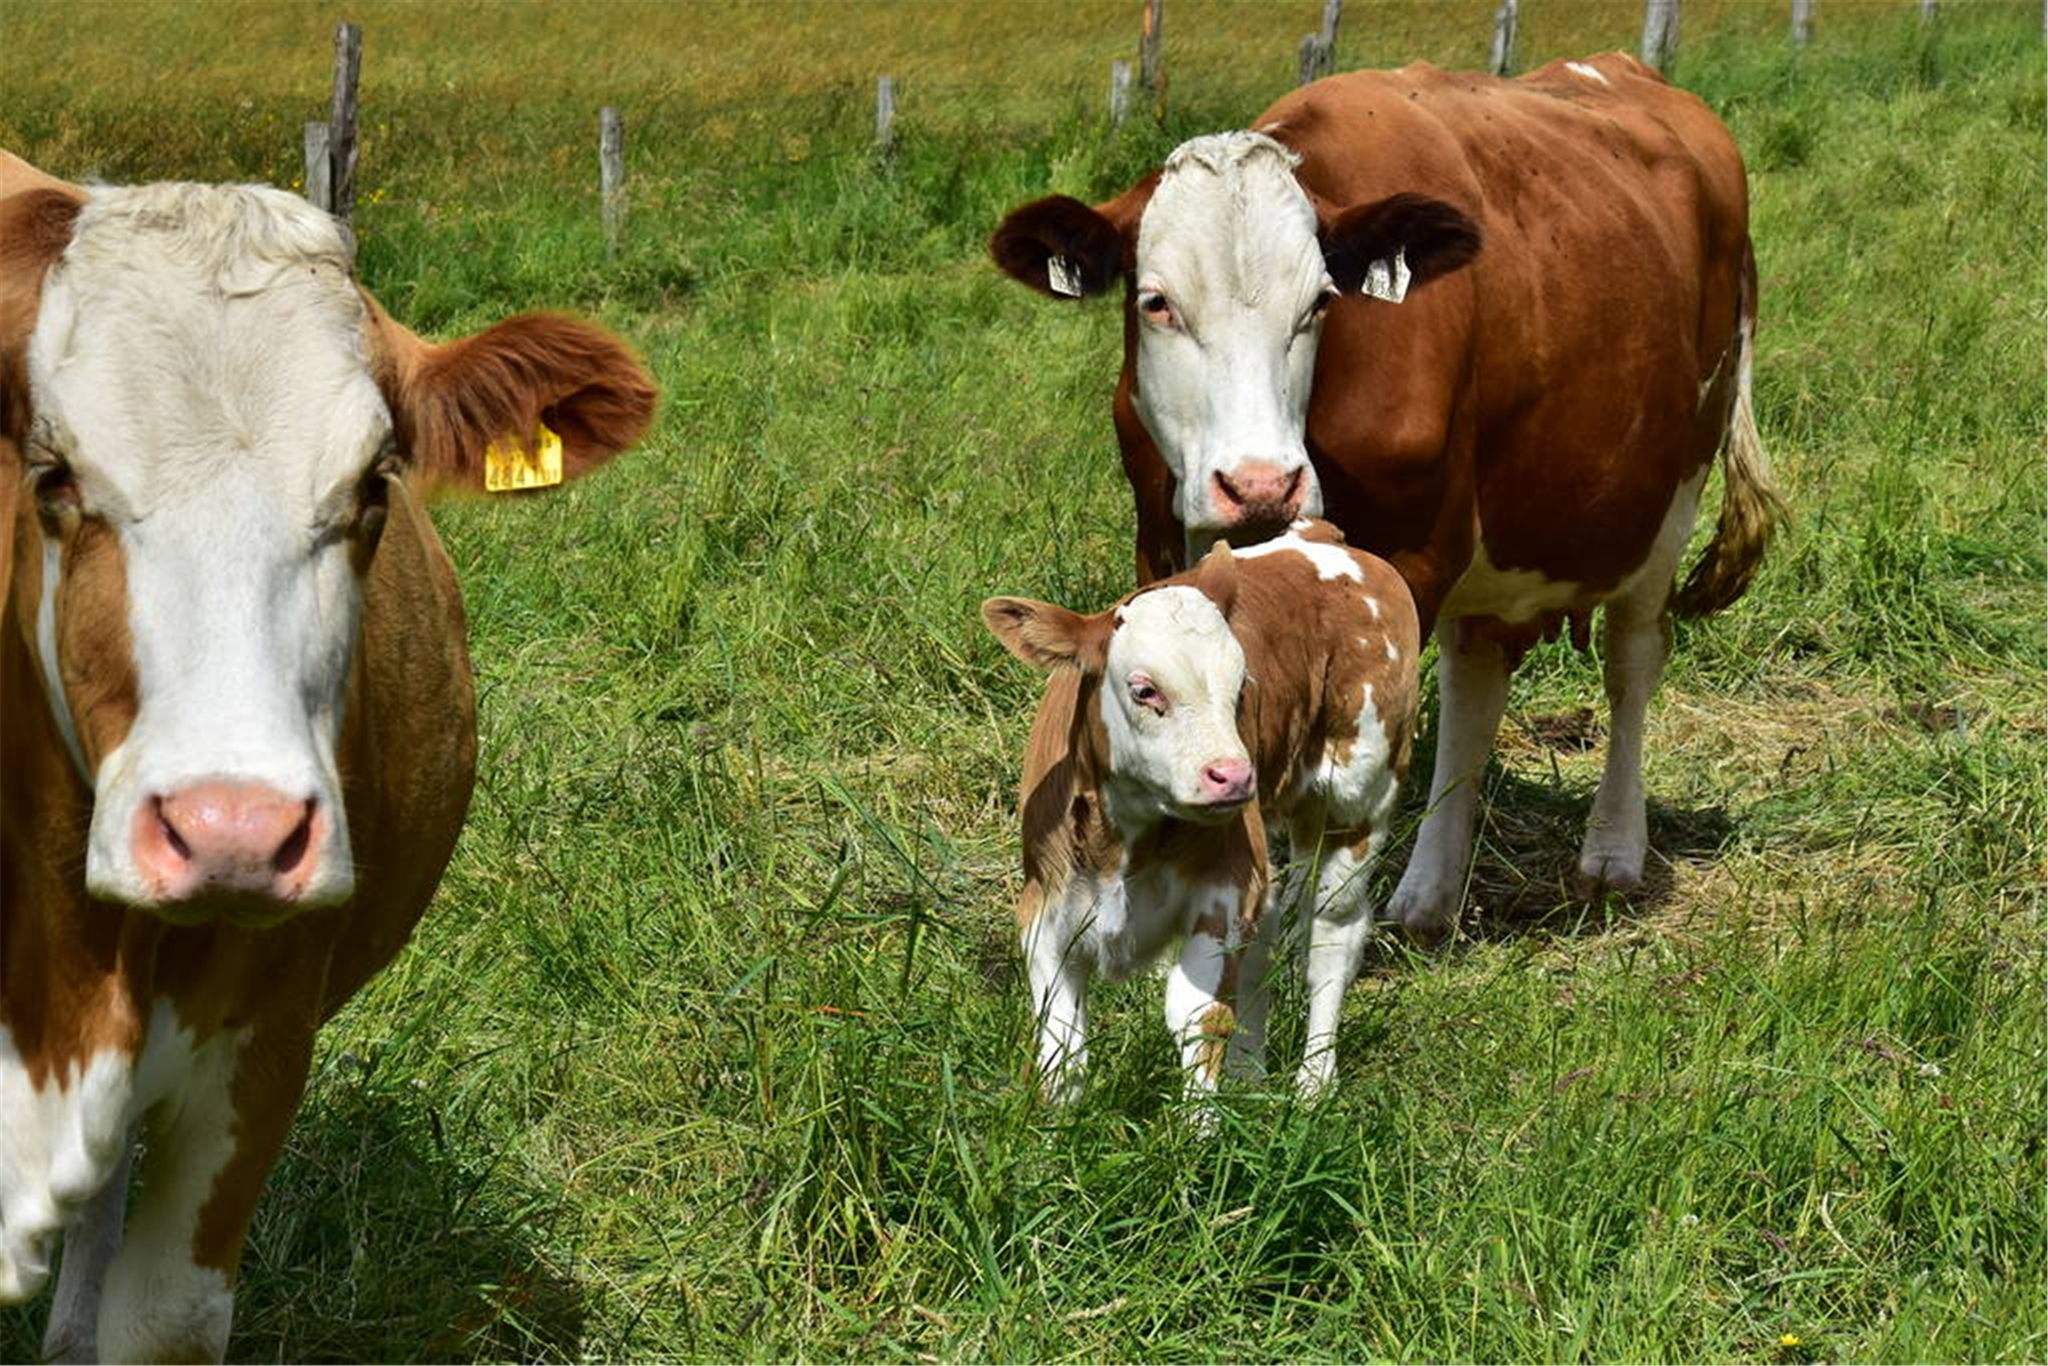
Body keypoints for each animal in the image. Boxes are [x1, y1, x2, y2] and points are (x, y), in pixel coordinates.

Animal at [983, 518, 1417, 1105]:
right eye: (1145, 690)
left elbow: (1198, 1017)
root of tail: (1317, 536)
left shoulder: (1225, 891)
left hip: (1357, 798)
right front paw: (1055, 1123)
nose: (1233, 775)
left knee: (1333, 933)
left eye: (1241, 687)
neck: (1127, 844)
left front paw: (1201, 1126)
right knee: (1268, 932)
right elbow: (1062, 1039)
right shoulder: (1044, 905)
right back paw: (1251, 1075)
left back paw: (1313, 1081)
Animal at [987, 56, 1777, 950]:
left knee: (1630, 663)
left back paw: (1611, 855)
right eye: (1156, 301)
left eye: (1321, 302)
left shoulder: (1415, 555)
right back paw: (1430, 895)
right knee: (1477, 682)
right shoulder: (1161, 541)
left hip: (1669, 497)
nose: (1260, 484)